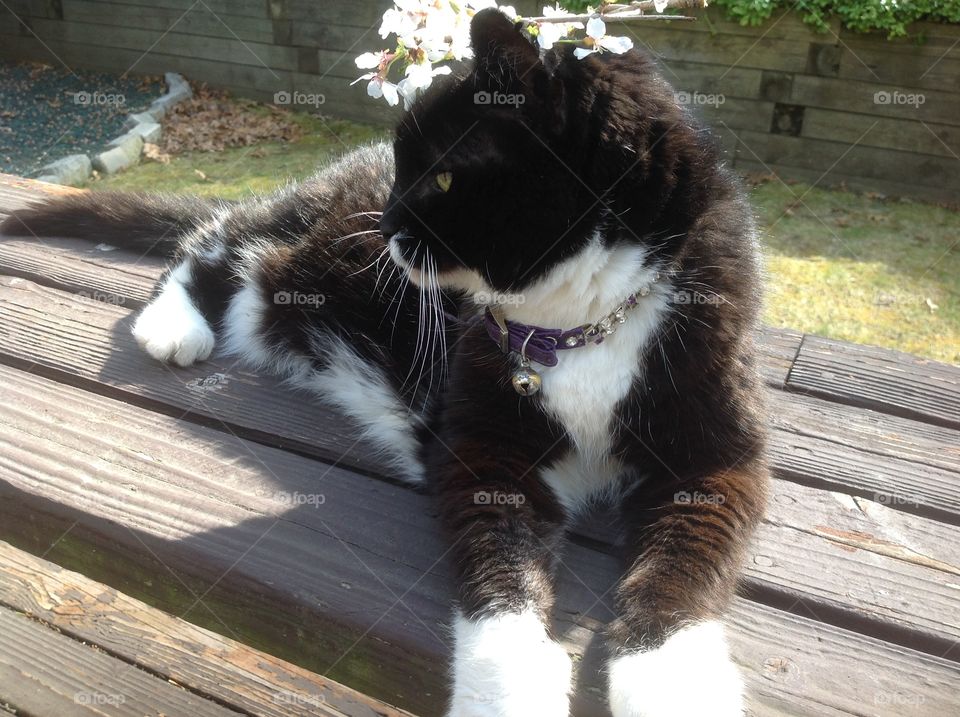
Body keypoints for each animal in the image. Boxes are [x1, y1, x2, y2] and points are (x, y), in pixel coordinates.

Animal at [1, 8, 764, 712]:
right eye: (407, 167)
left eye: (445, 178)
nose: (387, 224)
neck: (579, 323)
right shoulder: (476, 446)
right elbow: (500, 574)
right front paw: (508, 689)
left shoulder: (719, 457)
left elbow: (686, 563)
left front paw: (673, 683)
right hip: (289, 246)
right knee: (217, 239)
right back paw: (173, 323)